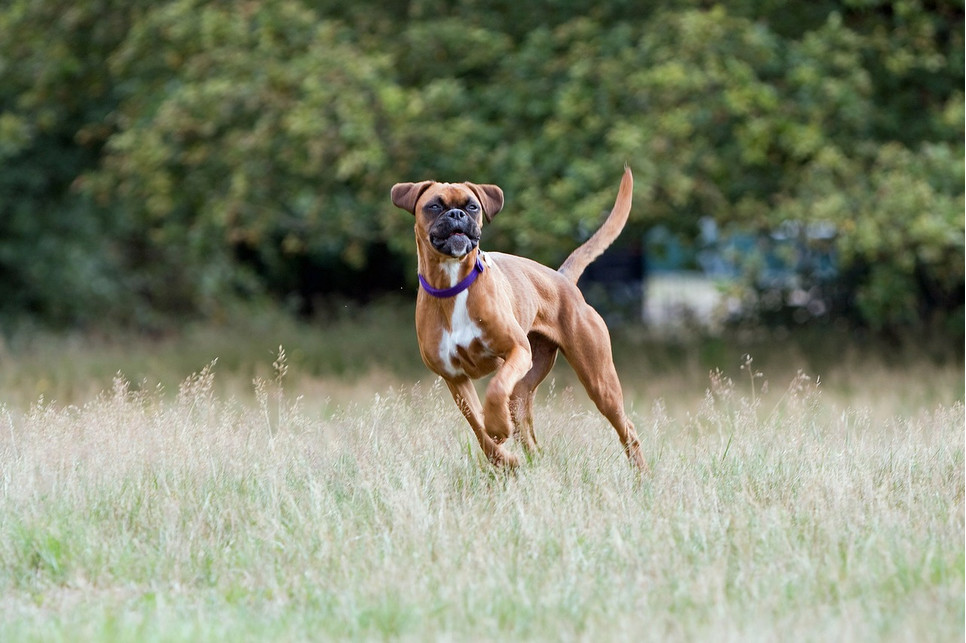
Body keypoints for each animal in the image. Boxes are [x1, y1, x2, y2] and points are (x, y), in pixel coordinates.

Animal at [390, 166, 648, 468]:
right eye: (434, 206)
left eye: (472, 206)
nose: (456, 214)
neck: (452, 285)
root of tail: (561, 278)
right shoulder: (454, 377)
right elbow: (477, 424)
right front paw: (502, 456)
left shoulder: (517, 351)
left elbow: (496, 389)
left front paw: (498, 426)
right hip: (524, 393)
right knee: (531, 440)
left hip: (599, 382)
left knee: (627, 428)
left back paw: (641, 474)